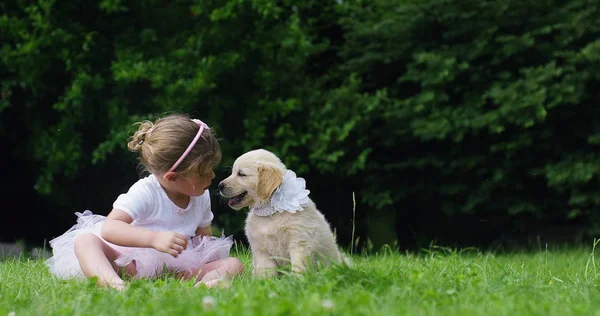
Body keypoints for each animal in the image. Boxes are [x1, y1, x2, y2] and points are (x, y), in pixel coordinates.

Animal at [218, 149, 346, 278]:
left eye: (241, 174)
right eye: (233, 172)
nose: (219, 186)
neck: (270, 210)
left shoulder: (299, 243)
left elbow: (298, 267)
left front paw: (296, 280)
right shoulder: (261, 250)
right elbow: (266, 273)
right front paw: (265, 282)